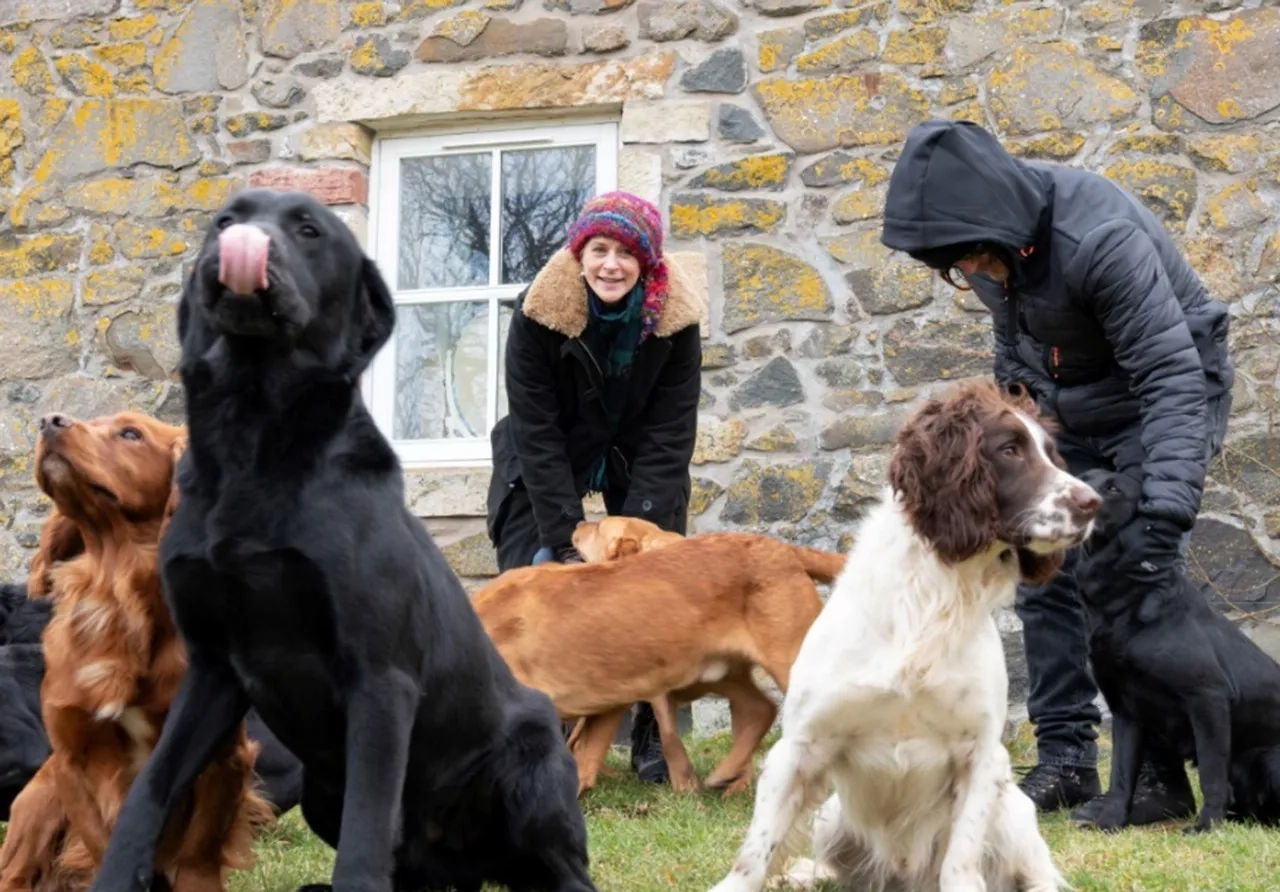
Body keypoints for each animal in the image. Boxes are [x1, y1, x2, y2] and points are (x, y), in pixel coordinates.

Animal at [468, 522, 839, 793]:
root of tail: (786, 550)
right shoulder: (607, 699)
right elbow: (584, 761)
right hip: (719, 671)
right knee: (760, 709)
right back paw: (725, 775)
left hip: (788, 662)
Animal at [1075, 470, 1280, 829]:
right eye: (1084, 476)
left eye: (1113, 488)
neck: (1129, 600)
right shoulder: (1125, 712)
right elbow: (1121, 775)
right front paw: (1110, 820)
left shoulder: (1208, 698)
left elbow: (1212, 774)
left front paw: (1207, 826)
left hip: (1270, 759)